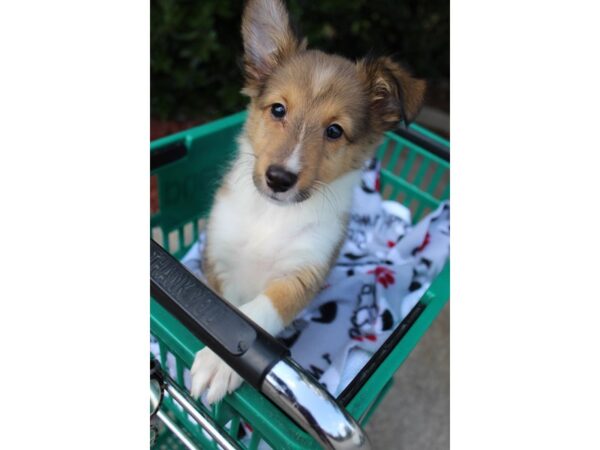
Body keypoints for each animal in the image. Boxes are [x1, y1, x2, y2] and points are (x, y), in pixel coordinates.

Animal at [190, 0, 424, 404]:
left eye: (335, 131)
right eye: (278, 109)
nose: (279, 179)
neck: (272, 214)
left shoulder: (303, 270)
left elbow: (255, 312)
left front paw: (221, 362)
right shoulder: (217, 257)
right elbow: (221, 308)